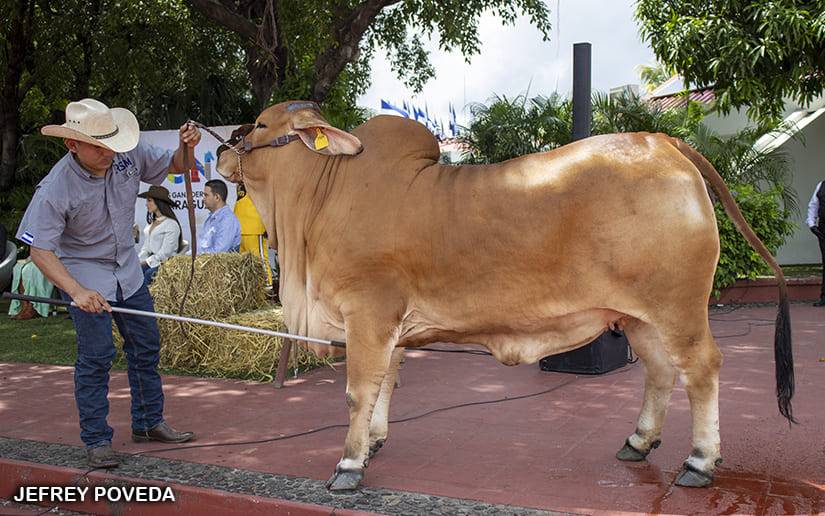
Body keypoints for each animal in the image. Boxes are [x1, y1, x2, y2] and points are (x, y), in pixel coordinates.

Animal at [216, 100, 796, 492]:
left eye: (261, 125)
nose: (221, 147)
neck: (326, 193)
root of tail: (659, 140)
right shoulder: (390, 325)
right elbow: (386, 384)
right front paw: (375, 443)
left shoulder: (369, 313)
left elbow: (360, 391)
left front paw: (348, 465)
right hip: (637, 317)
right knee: (658, 371)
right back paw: (638, 442)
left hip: (679, 309)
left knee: (701, 370)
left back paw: (699, 462)